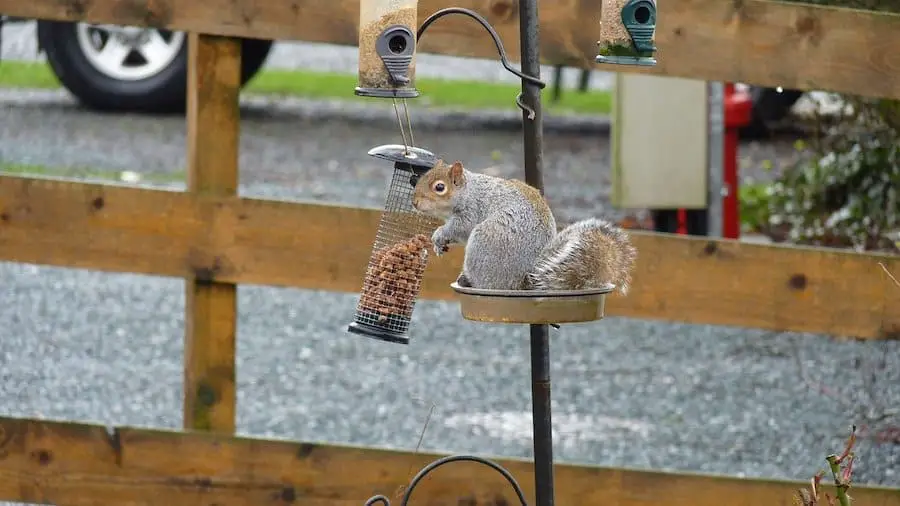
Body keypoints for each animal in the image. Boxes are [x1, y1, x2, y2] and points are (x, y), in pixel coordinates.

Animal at [412, 160, 636, 294]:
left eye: (440, 187)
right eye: (422, 177)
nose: (414, 202)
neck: (470, 190)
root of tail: (523, 283)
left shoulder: (472, 211)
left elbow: (460, 228)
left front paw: (439, 234)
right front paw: (439, 244)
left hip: (485, 242)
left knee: (490, 284)